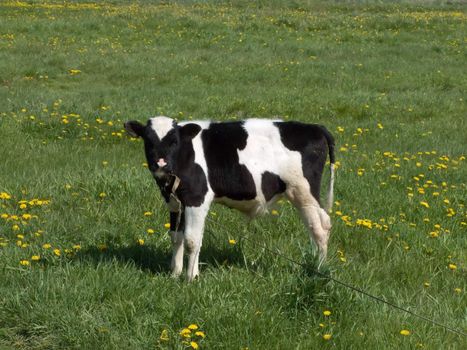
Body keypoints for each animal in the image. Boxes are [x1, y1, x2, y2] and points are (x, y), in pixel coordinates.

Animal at [125, 117, 336, 282]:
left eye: (174, 141)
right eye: (148, 140)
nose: (161, 163)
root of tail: (315, 127)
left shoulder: (197, 198)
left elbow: (192, 239)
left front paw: (191, 277)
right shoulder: (175, 202)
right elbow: (176, 237)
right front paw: (175, 273)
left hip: (303, 193)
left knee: (319, 229)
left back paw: (318, 270)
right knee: (323, 223)